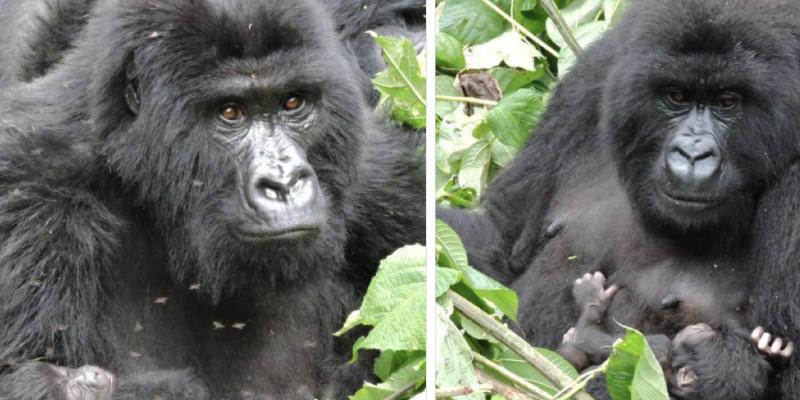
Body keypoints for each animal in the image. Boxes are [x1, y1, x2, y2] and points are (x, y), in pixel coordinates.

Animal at [0, 0, 424, 400]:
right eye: (231, 112)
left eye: (293, 103)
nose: (284, 182)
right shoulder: (29, 185)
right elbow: (28, 377)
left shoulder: (375, 168)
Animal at [560, 272, 792, 396]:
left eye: (700, 331)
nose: (704, 324)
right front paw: (768, 348)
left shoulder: (656, 354)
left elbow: (595, 340)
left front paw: (591, 298)